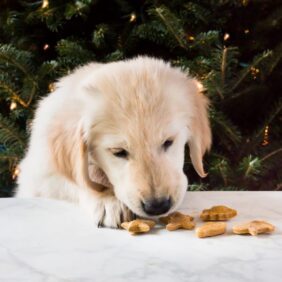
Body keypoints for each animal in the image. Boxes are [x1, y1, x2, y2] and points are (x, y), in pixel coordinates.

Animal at [14, 56, 209, 227]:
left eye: (168, 142)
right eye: (119, 152)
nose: (158, 206)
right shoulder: (39, 178)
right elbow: (83, 179)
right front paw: (109, 200)